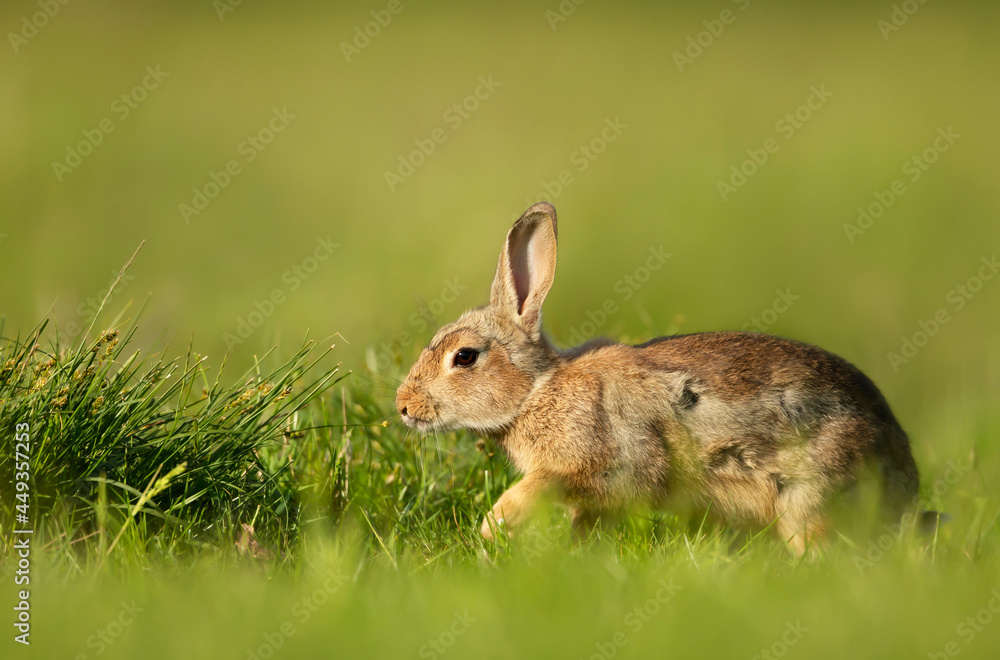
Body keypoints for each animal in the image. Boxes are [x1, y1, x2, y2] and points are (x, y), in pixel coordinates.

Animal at [395, 201, 920, 554]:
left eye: (464, 357)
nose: (403, 406)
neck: (536, 392)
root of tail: (905, 479)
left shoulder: (602, 459)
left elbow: (541, 486)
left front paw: (492, 526)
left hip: (808, 496)